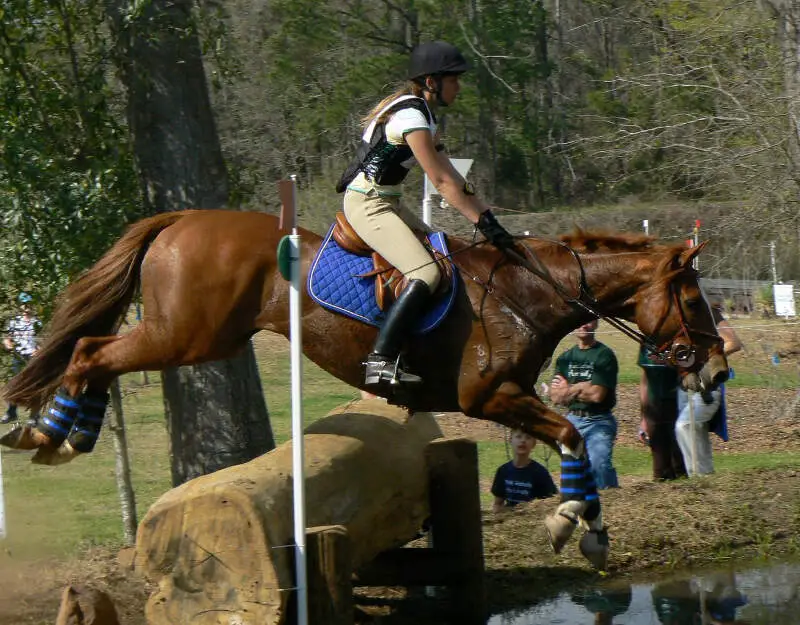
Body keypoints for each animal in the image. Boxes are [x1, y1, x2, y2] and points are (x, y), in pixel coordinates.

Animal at [1, 210, 724, 572]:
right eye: (693, 299)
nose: (716, 370)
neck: (529, 290)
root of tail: (183, 217)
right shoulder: (489, 396)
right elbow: (574, 434)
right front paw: (572, 519)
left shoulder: (510, 396)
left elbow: (574, 443)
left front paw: (589, 527)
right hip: (188, 333)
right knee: (91, 351)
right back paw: (49, 433)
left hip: (196, 335)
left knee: (97, 356)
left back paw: (68, 433)